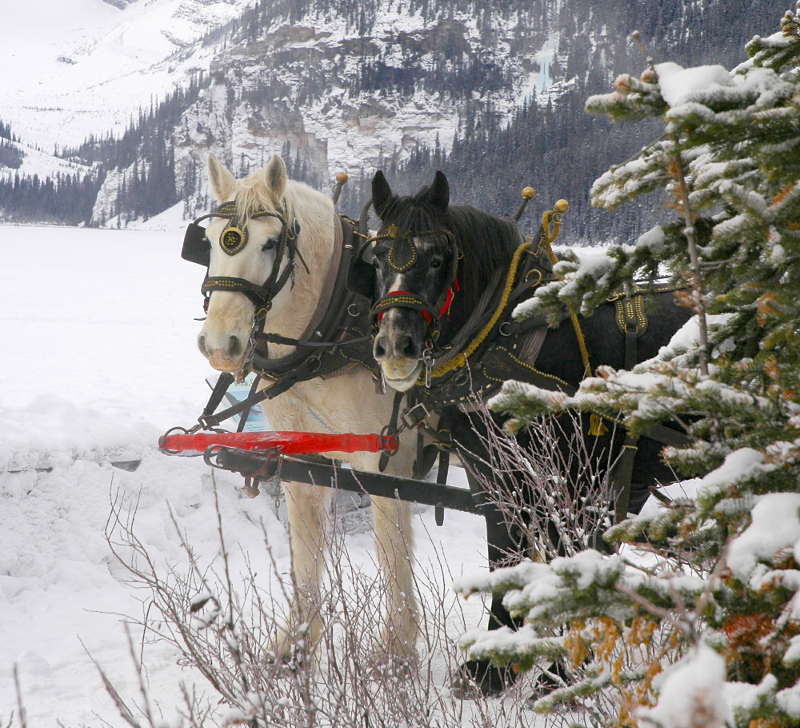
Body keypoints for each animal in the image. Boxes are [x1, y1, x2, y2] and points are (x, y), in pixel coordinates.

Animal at [197, 154, 418, 660]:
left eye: (270, 243)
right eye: (209, 242)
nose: (220, 345)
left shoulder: (387, 463)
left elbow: (393, 558)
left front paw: (396, 654)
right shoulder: (301, 457)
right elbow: (305, 551)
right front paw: (294, 646)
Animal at [354, 169, 692, 688]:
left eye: (437, 258)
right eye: (375, 258)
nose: (395, 345)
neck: (510, 336)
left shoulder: (577, 480)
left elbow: (565, 557)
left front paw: (557, 671)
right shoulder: (491, 472)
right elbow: (505, 552)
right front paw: (493, 666)